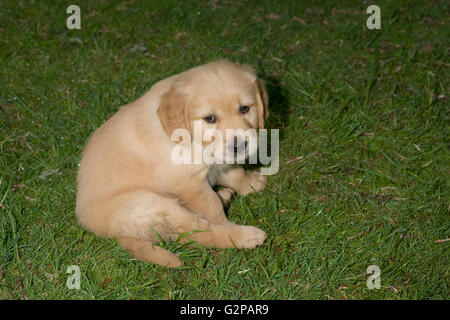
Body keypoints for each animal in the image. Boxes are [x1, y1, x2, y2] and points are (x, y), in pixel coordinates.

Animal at [75, 60, 268, 268]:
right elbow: (211, 206)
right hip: (153, 203)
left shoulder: (218, 161)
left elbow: (235, 174)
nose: (239, 146)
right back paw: (245, 236)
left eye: (245, 108)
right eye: (210, 118)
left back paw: (224, 196)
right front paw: (225, 222)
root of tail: (113, 234)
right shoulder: (187, 182)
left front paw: (253, 183)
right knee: (197, 232)